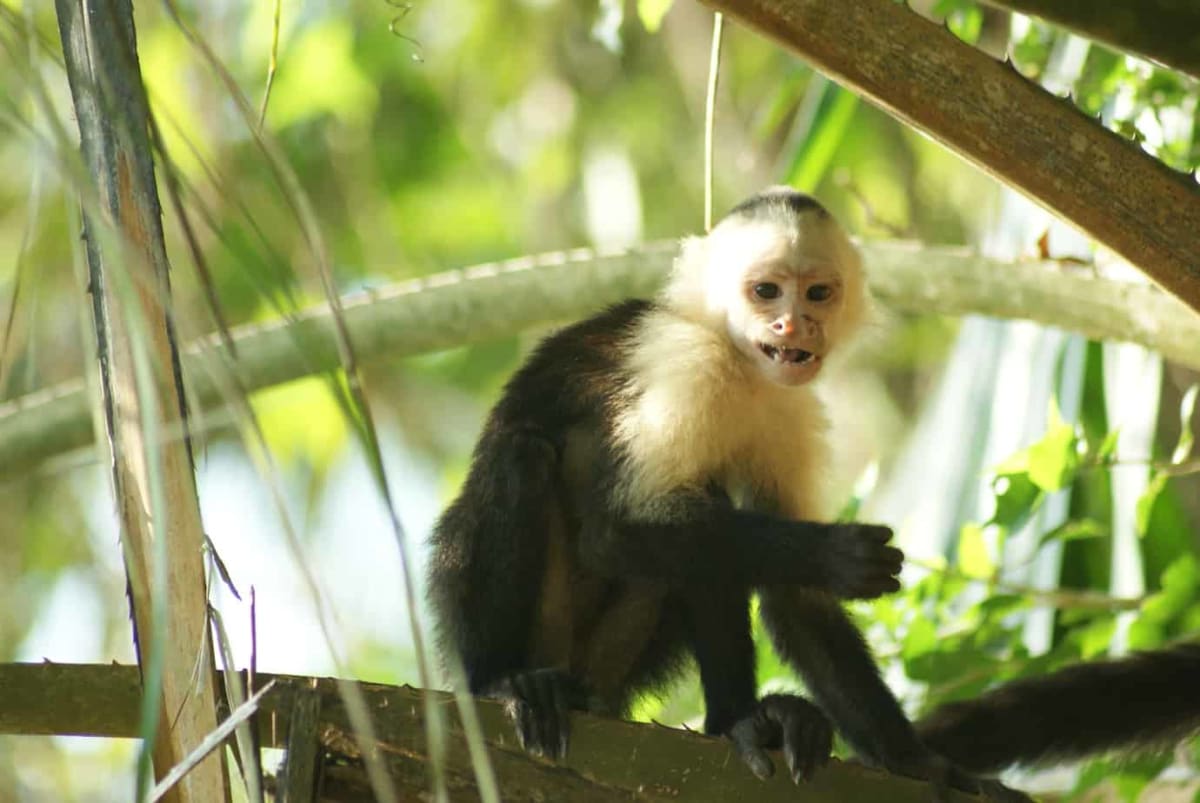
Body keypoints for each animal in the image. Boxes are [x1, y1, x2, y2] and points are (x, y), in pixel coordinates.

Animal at [427, 187, 1028, 799]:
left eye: (817, 293)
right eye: (766, 292)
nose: (792, 325)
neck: (738, 359)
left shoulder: (789, 408)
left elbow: (796, 599)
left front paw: (922, 763)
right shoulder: (684, 363)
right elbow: (613, 532)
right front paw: (835, 555)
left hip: (611, 664)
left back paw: (745, 723)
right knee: (524, 458)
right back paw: (506, 682)